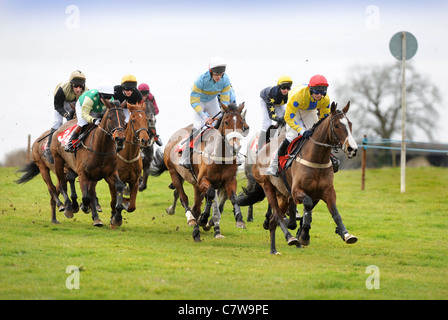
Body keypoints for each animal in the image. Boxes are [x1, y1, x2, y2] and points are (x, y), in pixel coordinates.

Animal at [51, 100, 127, 228]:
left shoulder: (109, 174)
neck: (101, 147)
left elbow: (120, 186)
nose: (120, 139)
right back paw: (68, 207)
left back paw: (96, 218)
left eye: (124, 118)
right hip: (58, 161)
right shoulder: (83, 173)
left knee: (89, 191)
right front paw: (83, 206)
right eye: (110, 117)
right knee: (62, 184)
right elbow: (85, 197)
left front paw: (117, 217)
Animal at [155, 102, 248, 240]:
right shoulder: (203, 180)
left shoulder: (230, 180)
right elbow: (210, 194)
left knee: (197, 203)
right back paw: (191, 218)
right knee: (183, 197)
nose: (235, 147)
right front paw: (203, 219)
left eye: (242, 123)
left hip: (194, 183)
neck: (220, 156)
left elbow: (232, 197)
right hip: (174, 173)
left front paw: (239, 219)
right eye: (226, 122)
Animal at [248, 101, 356, 254]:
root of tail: (261, 151)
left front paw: (345, 234)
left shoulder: (327, 191)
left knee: (273, 221)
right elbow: (308, 206)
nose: (353, 149)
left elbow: (335, 213)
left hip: (283, 196)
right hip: (268, 187)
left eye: (350, 124)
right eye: (336, 126)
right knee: (276, 215)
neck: (317, 159)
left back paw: (274, 250)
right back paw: (290, 237)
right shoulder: (296, 192)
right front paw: (304, 235)